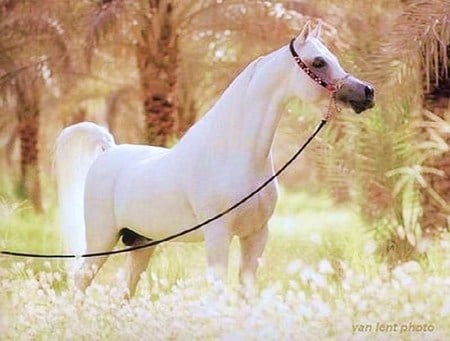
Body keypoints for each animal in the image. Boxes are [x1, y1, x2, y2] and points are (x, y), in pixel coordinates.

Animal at [54, 22, 374, 296]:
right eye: (319, 62)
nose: (367, 92)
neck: (235, 156)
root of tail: (109, 150)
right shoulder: (218, 235)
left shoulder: (256, 235)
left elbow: (246, 292)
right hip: (102, 240)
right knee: (80, 283)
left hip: (142, 243)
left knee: (125, 292)